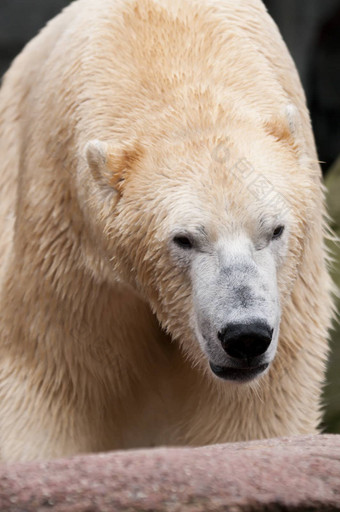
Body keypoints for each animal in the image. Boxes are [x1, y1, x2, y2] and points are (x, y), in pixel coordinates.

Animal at [0, 0, 334, 460]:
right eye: (184, 239)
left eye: (275, 230)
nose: (245, 336)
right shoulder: (67, 250)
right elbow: (51, 377)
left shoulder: (294, 294)